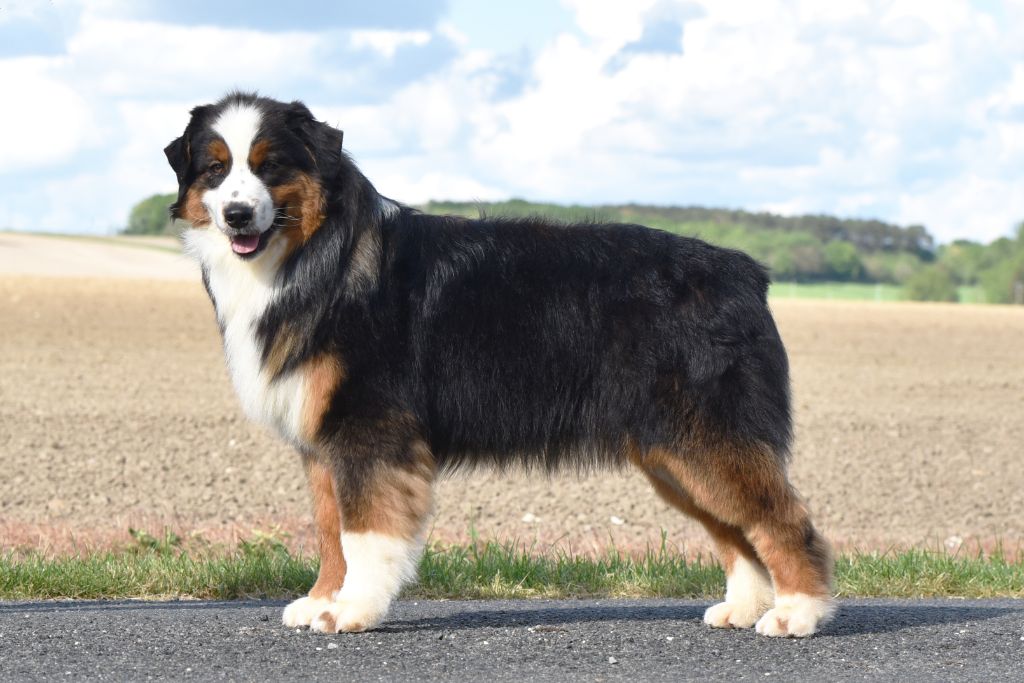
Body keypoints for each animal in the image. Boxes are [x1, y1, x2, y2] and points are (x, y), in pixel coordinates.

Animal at [164, 92, 834, 637]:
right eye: (216, 168)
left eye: (270, 165)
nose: (237, 214)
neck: (317, 255)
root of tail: (745, 271)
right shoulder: (323, 441)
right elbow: (331, 531)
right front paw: (322, 601)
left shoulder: (369, 431)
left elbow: (364, 535)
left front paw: (352, 610)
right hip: (673, 454)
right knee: (736, 530)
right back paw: (744, 608)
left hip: (708, 438)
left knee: (782, 519)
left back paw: (796, 614)